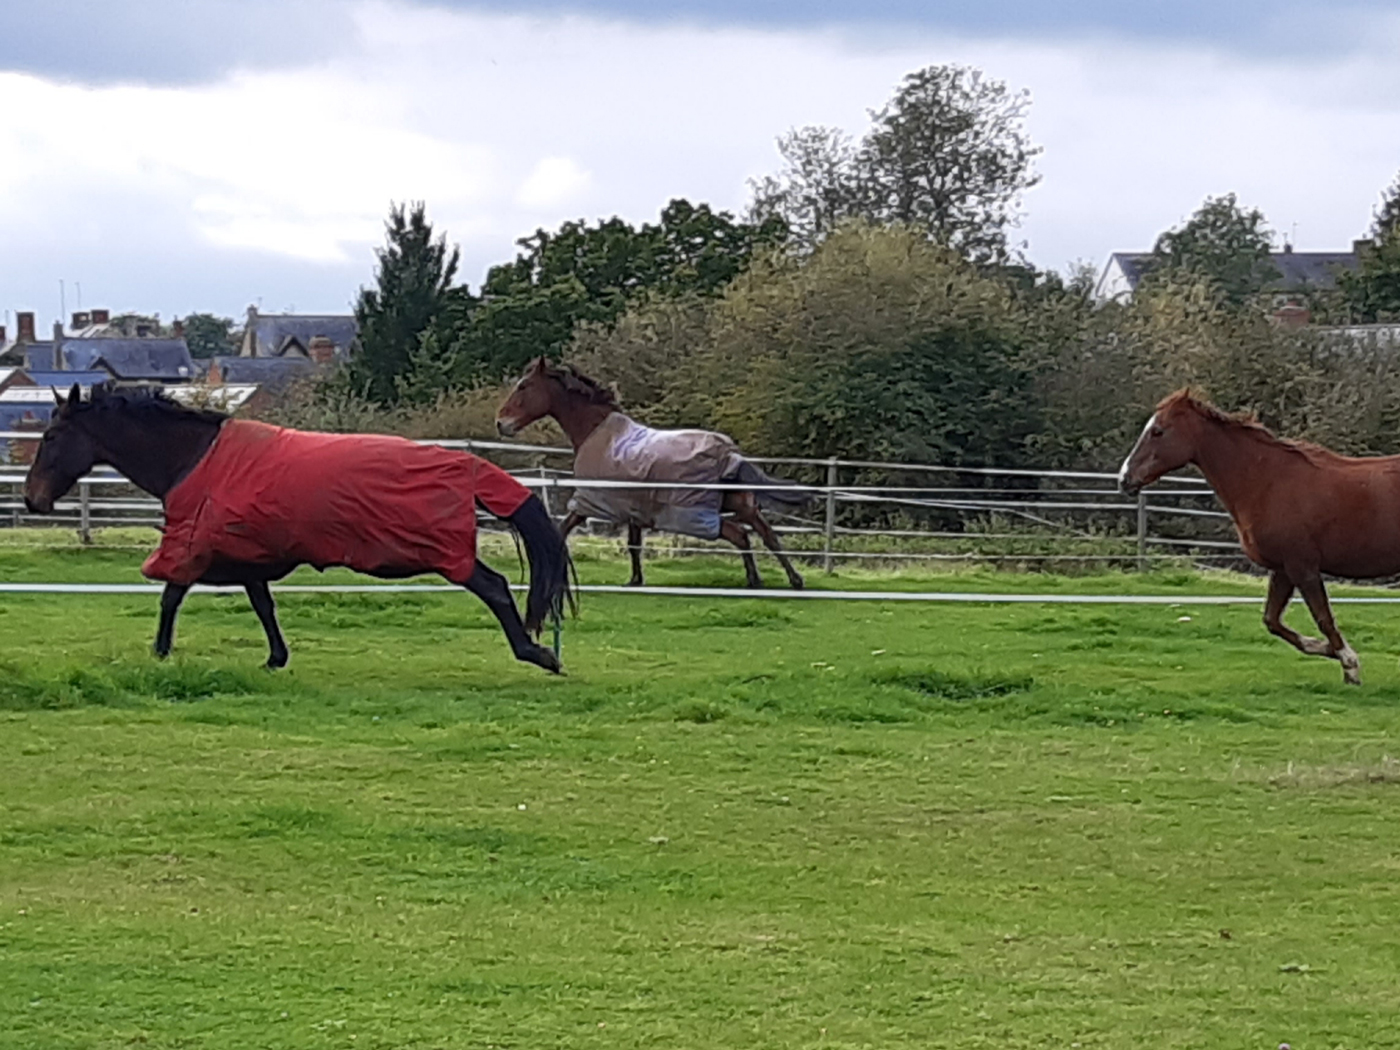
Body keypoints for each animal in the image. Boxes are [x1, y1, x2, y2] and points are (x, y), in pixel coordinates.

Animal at [23, 386, 568, 674]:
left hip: (446, 553)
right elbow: (262, 605)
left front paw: (159, 653)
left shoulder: (196, 546)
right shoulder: (246, 555)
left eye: (51, 435)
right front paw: (275, 658)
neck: (195, 458)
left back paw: (539, 654)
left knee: (495, 587)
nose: (32, 499)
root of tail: (468, 465)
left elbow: (170, 597)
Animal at [498, 358, 812, 593]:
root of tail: (730, 454)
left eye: (524, 386)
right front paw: (635, 580)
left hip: (701, 514)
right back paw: (790, 580)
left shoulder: (589, 502)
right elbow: (633, 544)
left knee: (741, 535)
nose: (501, 423)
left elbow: (562, 530)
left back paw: (758, 580)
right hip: (739, 505)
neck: (596, 432)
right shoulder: (633, 510)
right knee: (764, 534)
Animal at [1120, 392, 1400, 686]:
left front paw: (1350, 665)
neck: (1267, 482)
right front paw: (1329, 650)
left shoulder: (1302, 567)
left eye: (1158, 431)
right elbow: (1272, 621)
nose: (1125, 479)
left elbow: (1323, 618)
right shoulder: (1283, 569)